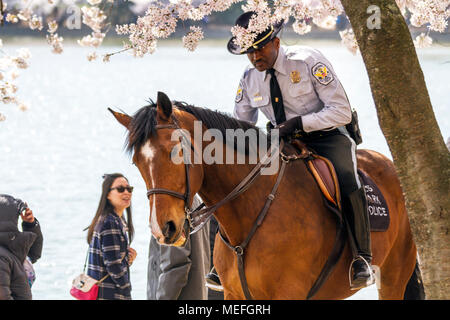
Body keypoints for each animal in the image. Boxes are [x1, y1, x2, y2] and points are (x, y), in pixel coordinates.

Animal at [110, 90, 424, 300]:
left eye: (176, 151)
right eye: (137, 162)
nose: (163, 229)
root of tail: (390, 164)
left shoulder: (289, 293)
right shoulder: (234, 295)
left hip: (394, 277)